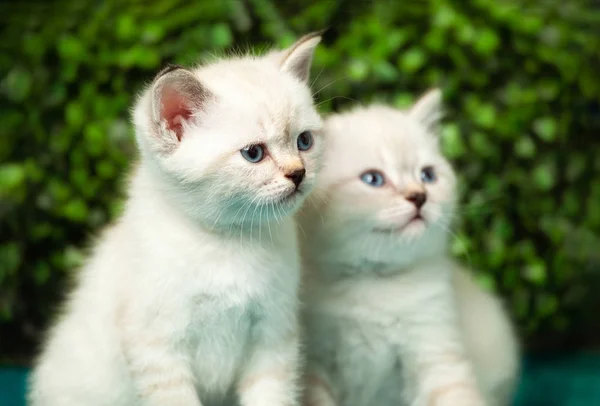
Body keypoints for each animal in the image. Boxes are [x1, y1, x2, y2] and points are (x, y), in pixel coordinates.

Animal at [29, 31, 324, 406]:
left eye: (305, 141)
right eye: (254, 153)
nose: (299, 174)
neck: (227, 241)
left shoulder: (273, 338)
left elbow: (271, 397)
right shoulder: (159, 349)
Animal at [300, 89, 520, 406]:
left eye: (427, 175)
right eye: (373, 179)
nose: (419, 197)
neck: (374, 284)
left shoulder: (435, 352)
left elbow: (456, 396)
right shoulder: (315, 366)